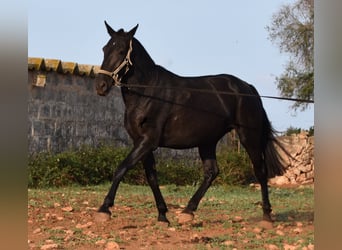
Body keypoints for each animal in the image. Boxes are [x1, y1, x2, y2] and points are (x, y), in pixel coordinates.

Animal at [95, 21, 284, 224]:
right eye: (104, 48)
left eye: (121, 50)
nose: (100, 86)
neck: (148, 93)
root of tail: (248, 87)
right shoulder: (140, 142)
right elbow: (151, 176)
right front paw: (162, 215)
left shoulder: (148, 141)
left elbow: (121, 168)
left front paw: (104, 209)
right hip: (207, 141)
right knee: (212, 172)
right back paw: (188, 211)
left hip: (249, 136)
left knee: (260, 171)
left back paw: (266, 216)